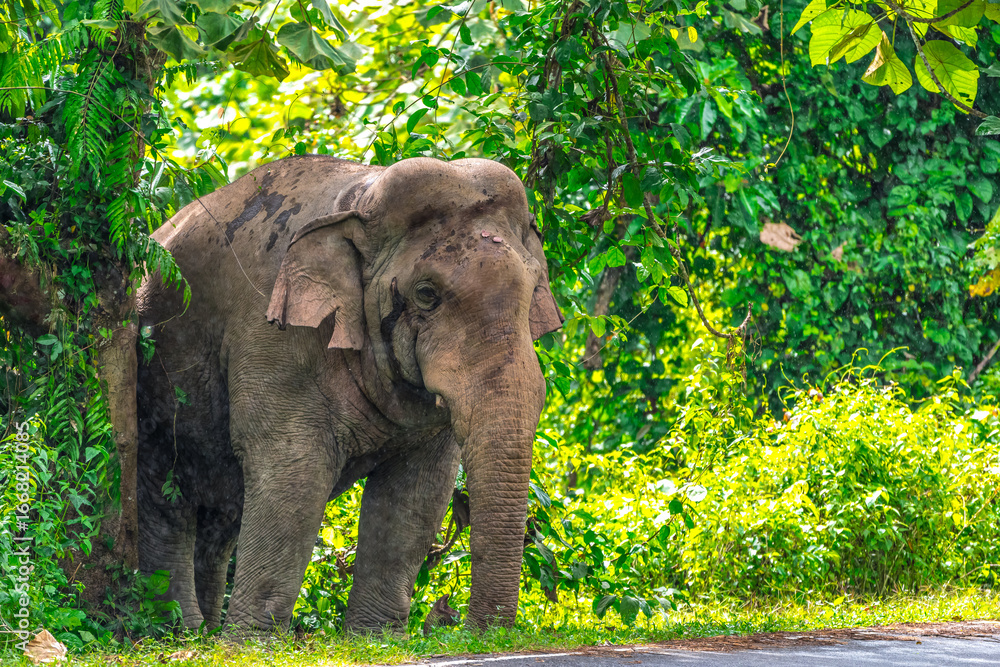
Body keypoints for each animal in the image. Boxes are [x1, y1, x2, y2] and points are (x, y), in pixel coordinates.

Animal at [135, 155, 563, 634]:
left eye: (533, 290)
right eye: (426, 294)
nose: (459, 625)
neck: (360, 196)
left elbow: (417, 494)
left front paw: (374, 638)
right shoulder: (272, 332)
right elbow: (294, 467)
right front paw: (250, 642)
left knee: (219, 517)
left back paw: (203, 632)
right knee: (166, 497)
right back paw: (178, 631)